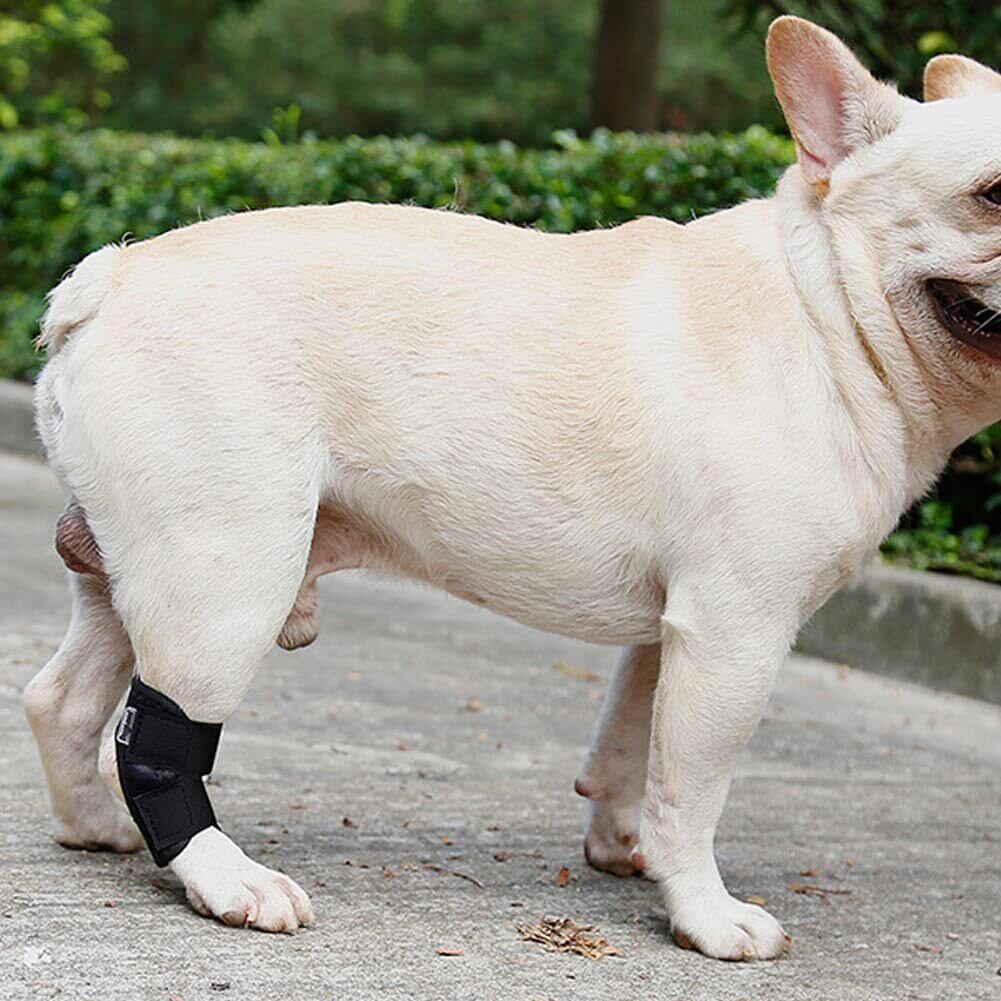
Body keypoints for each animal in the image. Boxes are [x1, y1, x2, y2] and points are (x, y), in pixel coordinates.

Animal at [24, 16, 1001, 960]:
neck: (828, 310)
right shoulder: (736, 632)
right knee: (161, 738)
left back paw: (98, 826)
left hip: (140, 564)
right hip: (226, 574)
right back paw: (225, 878)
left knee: (63, 699)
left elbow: (630, 741)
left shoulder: (676, 630)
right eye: (992, 194)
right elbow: (692, 788)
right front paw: (703, 914)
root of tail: (112, 276)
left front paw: (622, 847)